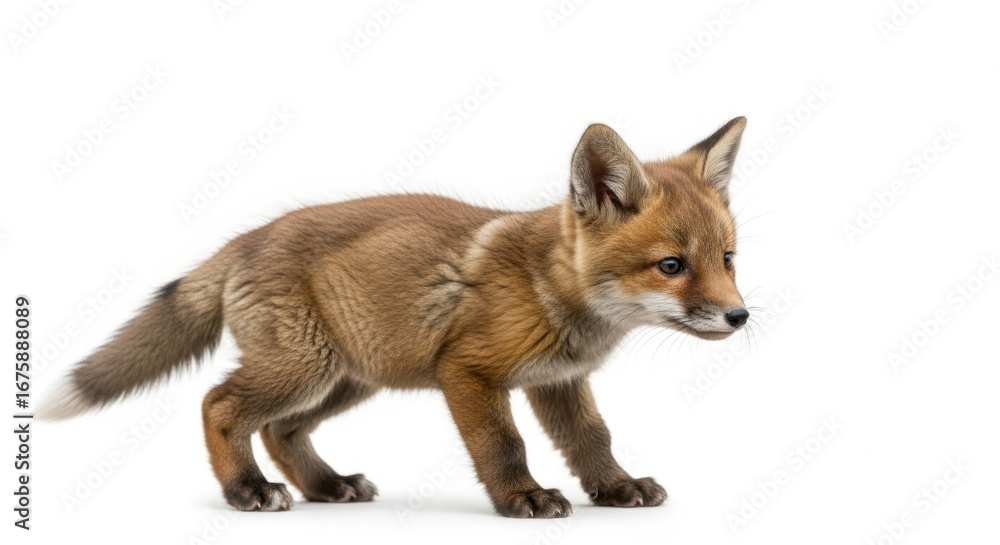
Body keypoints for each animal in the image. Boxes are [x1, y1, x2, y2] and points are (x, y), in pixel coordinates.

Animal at [41, 117, 751, 518]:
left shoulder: (559, 381)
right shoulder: (468, 372)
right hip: (305, 370)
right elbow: (504, 444)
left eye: (726, 258)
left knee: (281, 431)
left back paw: (326, 486)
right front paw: (521, 499)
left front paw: (616, 488)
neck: (550, 290)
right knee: (220, 405)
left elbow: (592, 440)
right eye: (670, 266)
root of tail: (246, 238)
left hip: (347, 380)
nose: (740, 317)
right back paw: (246, 490)